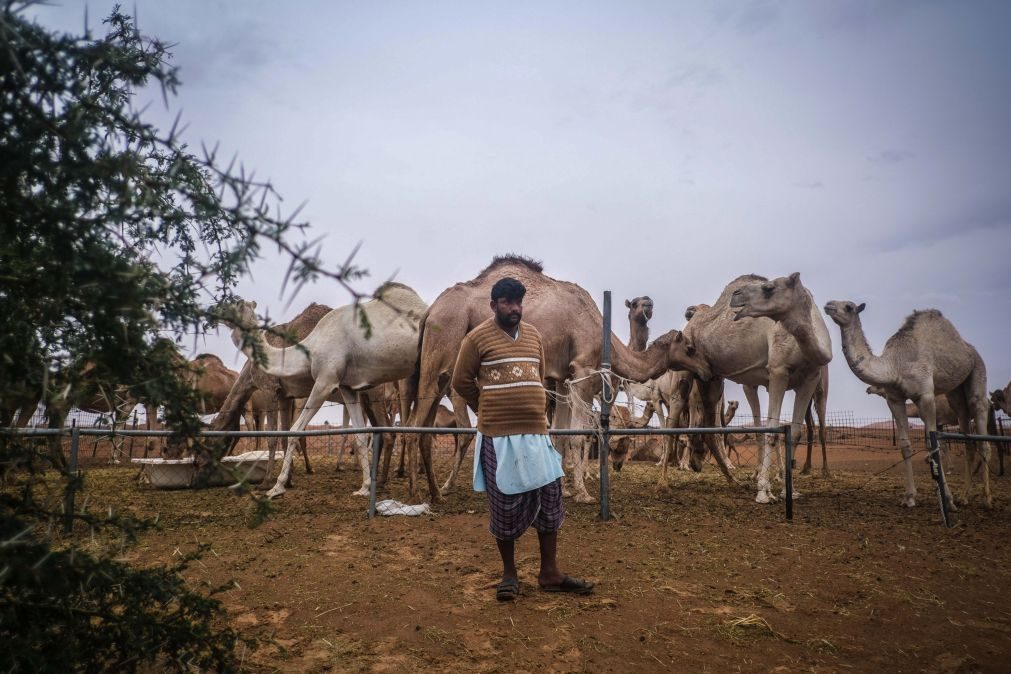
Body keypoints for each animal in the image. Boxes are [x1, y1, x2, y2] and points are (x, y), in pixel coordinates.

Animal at [227, 282, 428, 499]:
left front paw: (276, 487)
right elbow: (359, 435)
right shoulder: (347, 387)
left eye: (233, 305)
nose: (215, 311)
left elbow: (294, 431)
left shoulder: (325, 380)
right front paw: (364, 487)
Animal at [404, 255, 711, 503]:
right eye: (690, 348)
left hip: (441, 371)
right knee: (414, 426)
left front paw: (563, 489)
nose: (707, 367)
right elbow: (578, 435)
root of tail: (431, 311)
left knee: (425, 427)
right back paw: (419, 493)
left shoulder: (563, 379)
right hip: (440, 348)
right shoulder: (583, 371)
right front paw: (583, 494)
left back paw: (435, 492)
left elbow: (562, 434)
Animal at [683, 270, 833, 503]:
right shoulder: (778, 372)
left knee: (708, 426)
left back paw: (725, 476)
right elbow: (771, 430)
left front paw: (789, 491)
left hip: (713, 378)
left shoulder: (809, 379)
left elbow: (795, 433)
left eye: (769, 288)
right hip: (697, 374)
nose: (736, 296)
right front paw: (764, 492)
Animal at [824, 303, 990, 509]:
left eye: (848, 306)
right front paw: (909, 497)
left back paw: (987, 499)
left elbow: (933, 444)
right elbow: (905, 445)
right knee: (966, 429)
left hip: (978, 368)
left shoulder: (926, 396)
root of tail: (969, 348)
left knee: (981, 422)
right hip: (956, 392)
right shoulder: (894, 399)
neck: (895, 365)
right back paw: (964, 496)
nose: (828, 305)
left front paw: (947, 499)